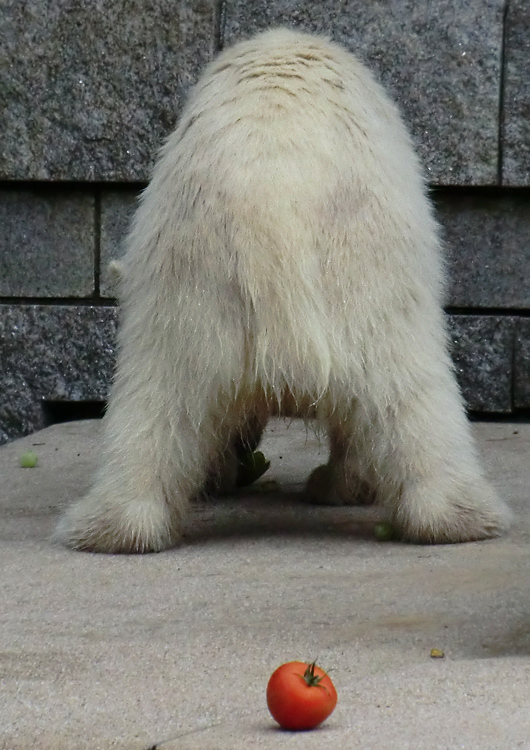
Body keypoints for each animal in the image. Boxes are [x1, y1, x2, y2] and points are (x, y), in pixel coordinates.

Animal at [52, 27, 508, 552]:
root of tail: (272, 210)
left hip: (185, 293)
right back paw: (463, 517)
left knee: (156, 398)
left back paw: (113, 527)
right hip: (365, 272)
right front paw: (341, 487)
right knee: (409, 389)